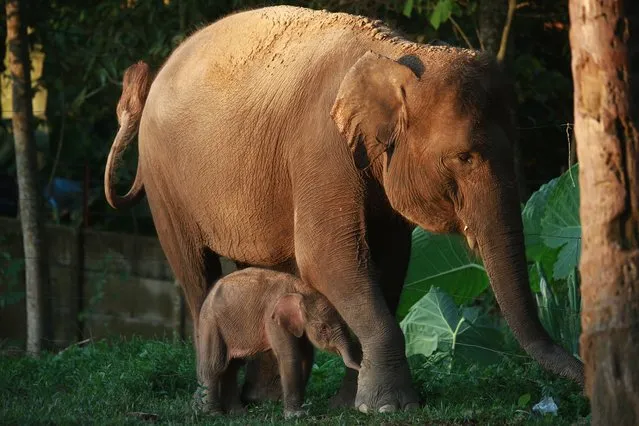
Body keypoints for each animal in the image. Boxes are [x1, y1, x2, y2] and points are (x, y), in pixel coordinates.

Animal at [195, 268, 360, 418]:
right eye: (324, 328)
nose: (360, 366)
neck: (300, 289)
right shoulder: (272, 318)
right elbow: (290, 356)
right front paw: (295, 416)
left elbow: (306, 357)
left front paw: (299, 411)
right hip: (211, 323)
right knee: (215, 365)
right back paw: (214, 414)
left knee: (232, 366)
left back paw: (237, 413)